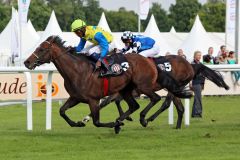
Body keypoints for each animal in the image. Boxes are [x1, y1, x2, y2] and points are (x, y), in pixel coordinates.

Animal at [23, 35, 161, 133]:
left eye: (41, 49)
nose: (26, 62)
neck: (78, 70)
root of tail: (147, 60)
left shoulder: (93, 99)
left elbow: (97, 122)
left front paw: (116, 124)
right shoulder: (75, 97)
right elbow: (62, 111)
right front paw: (78, 123)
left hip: (142, 86)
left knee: (155, 98)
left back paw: (142, 119)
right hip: (126, 90)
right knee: (134, 106)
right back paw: (125, 120)